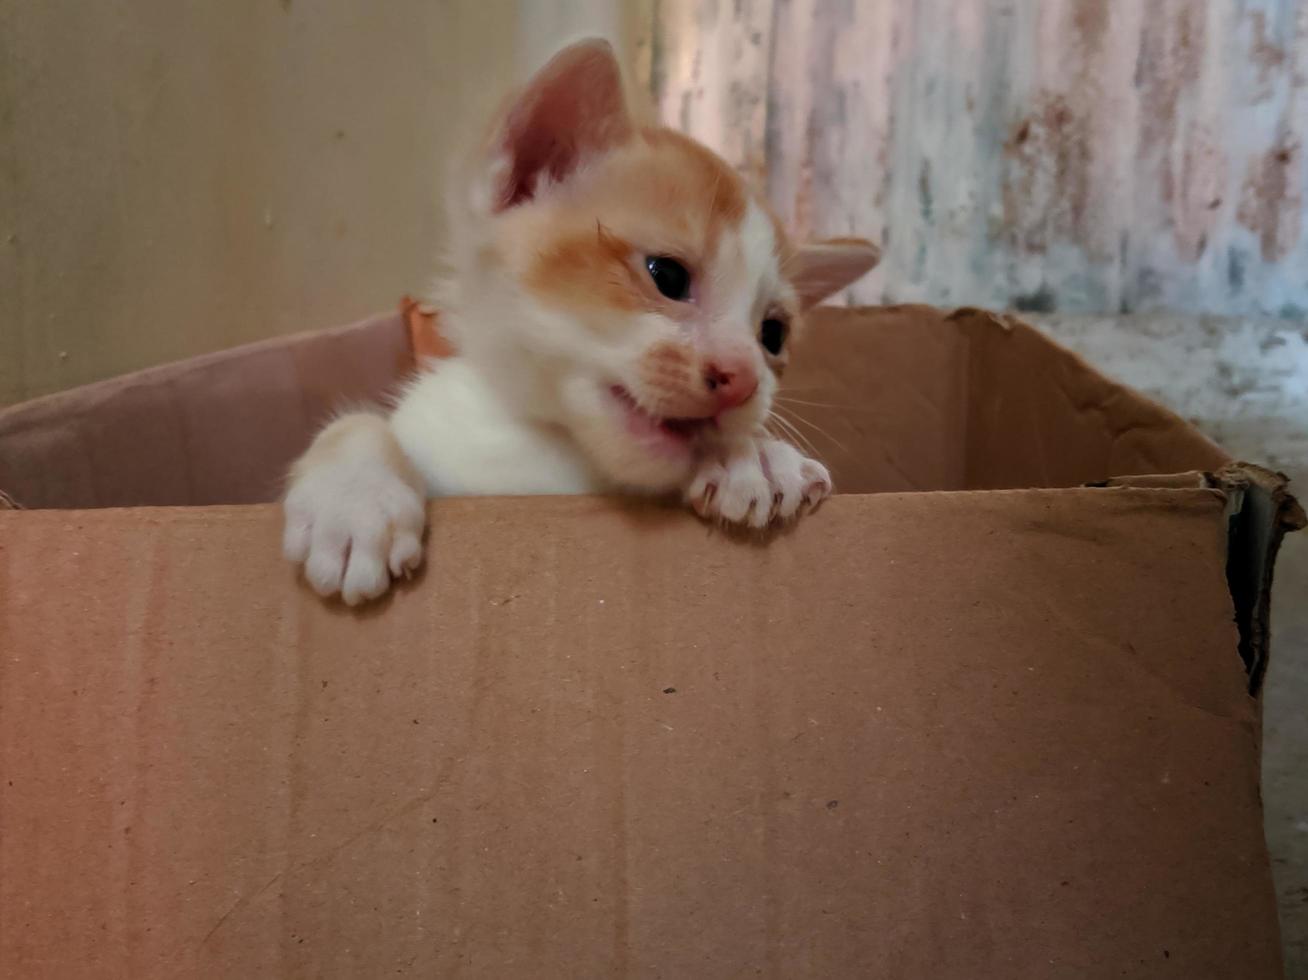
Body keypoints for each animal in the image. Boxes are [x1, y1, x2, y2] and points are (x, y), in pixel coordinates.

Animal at [285, 40, 878, 604]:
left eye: (772, 334)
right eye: (667, 275)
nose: (743, 378)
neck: (561, 458)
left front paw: (753, 456)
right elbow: (358, 423)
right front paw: (354, 501)